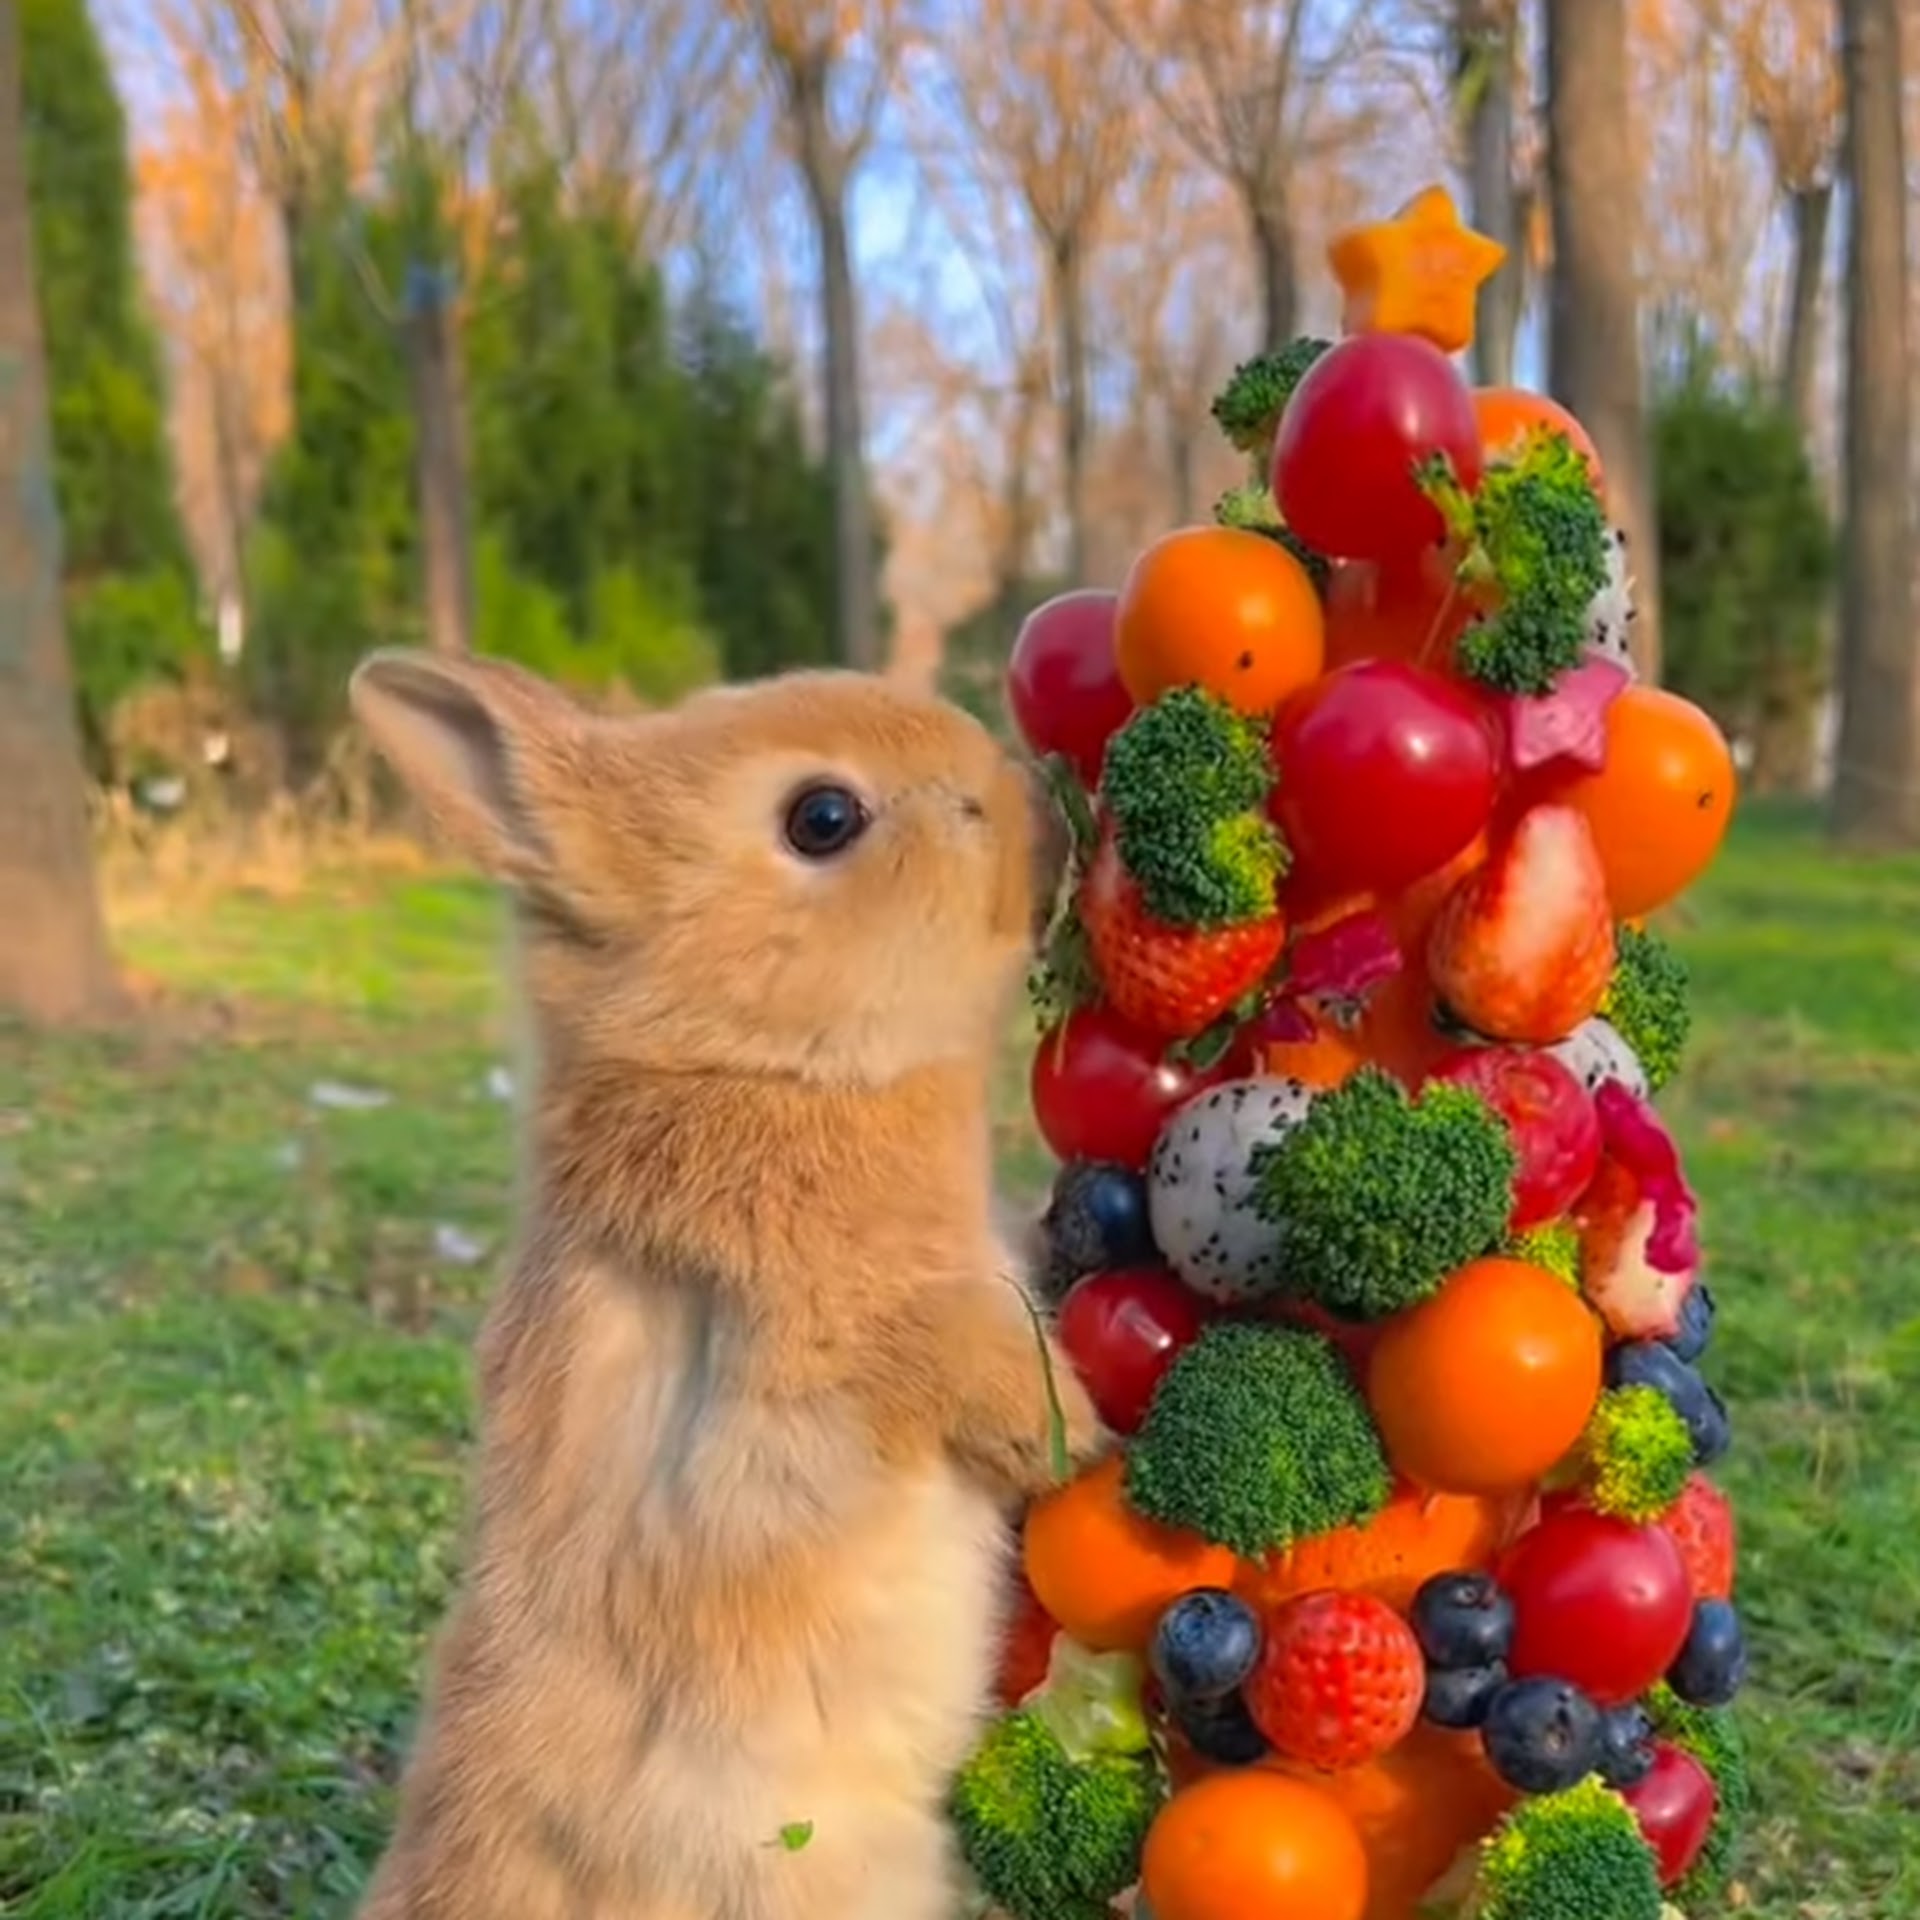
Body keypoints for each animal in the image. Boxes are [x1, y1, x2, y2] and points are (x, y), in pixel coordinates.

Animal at [347, 649, 1105, 1920]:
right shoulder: (859, 1324)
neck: (747, 1062)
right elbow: (991, 1389)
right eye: (823, 818)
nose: (1032, 807)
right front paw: (1085, 1447)